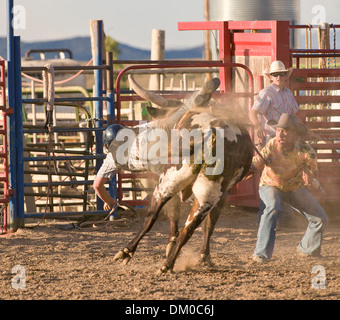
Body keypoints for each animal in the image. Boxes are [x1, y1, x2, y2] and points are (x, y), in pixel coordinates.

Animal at [113, 75, 254, 272]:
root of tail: (213, 134)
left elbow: (171, 213)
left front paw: (169, 244)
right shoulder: (223, 195)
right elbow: (209, 224)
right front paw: (204, 256)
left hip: (169, 179)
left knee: (152, 216)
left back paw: (128, 251)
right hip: (208, 192)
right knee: (191, 227)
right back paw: (169, 263)